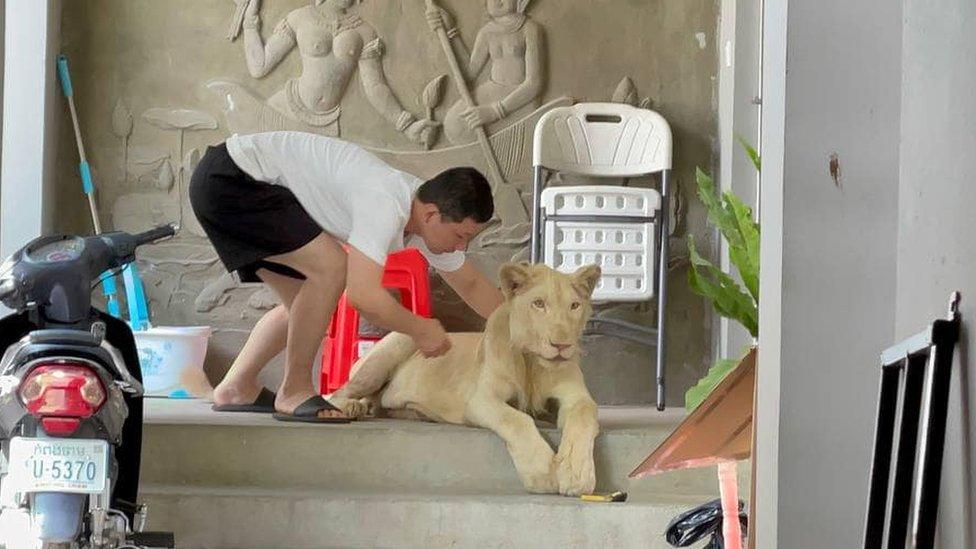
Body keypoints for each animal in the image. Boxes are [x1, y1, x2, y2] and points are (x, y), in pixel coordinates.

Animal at [332, 260, 600, 494]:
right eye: (539, 303)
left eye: (574, 306)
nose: (562, 345)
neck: (532, 364)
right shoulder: (482, 399)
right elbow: (517, 420)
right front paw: (543, 472)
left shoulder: (576, 396)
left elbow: (584, 414)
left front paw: (576, 474)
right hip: (399, 343)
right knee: (339, 391)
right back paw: (349, 407)